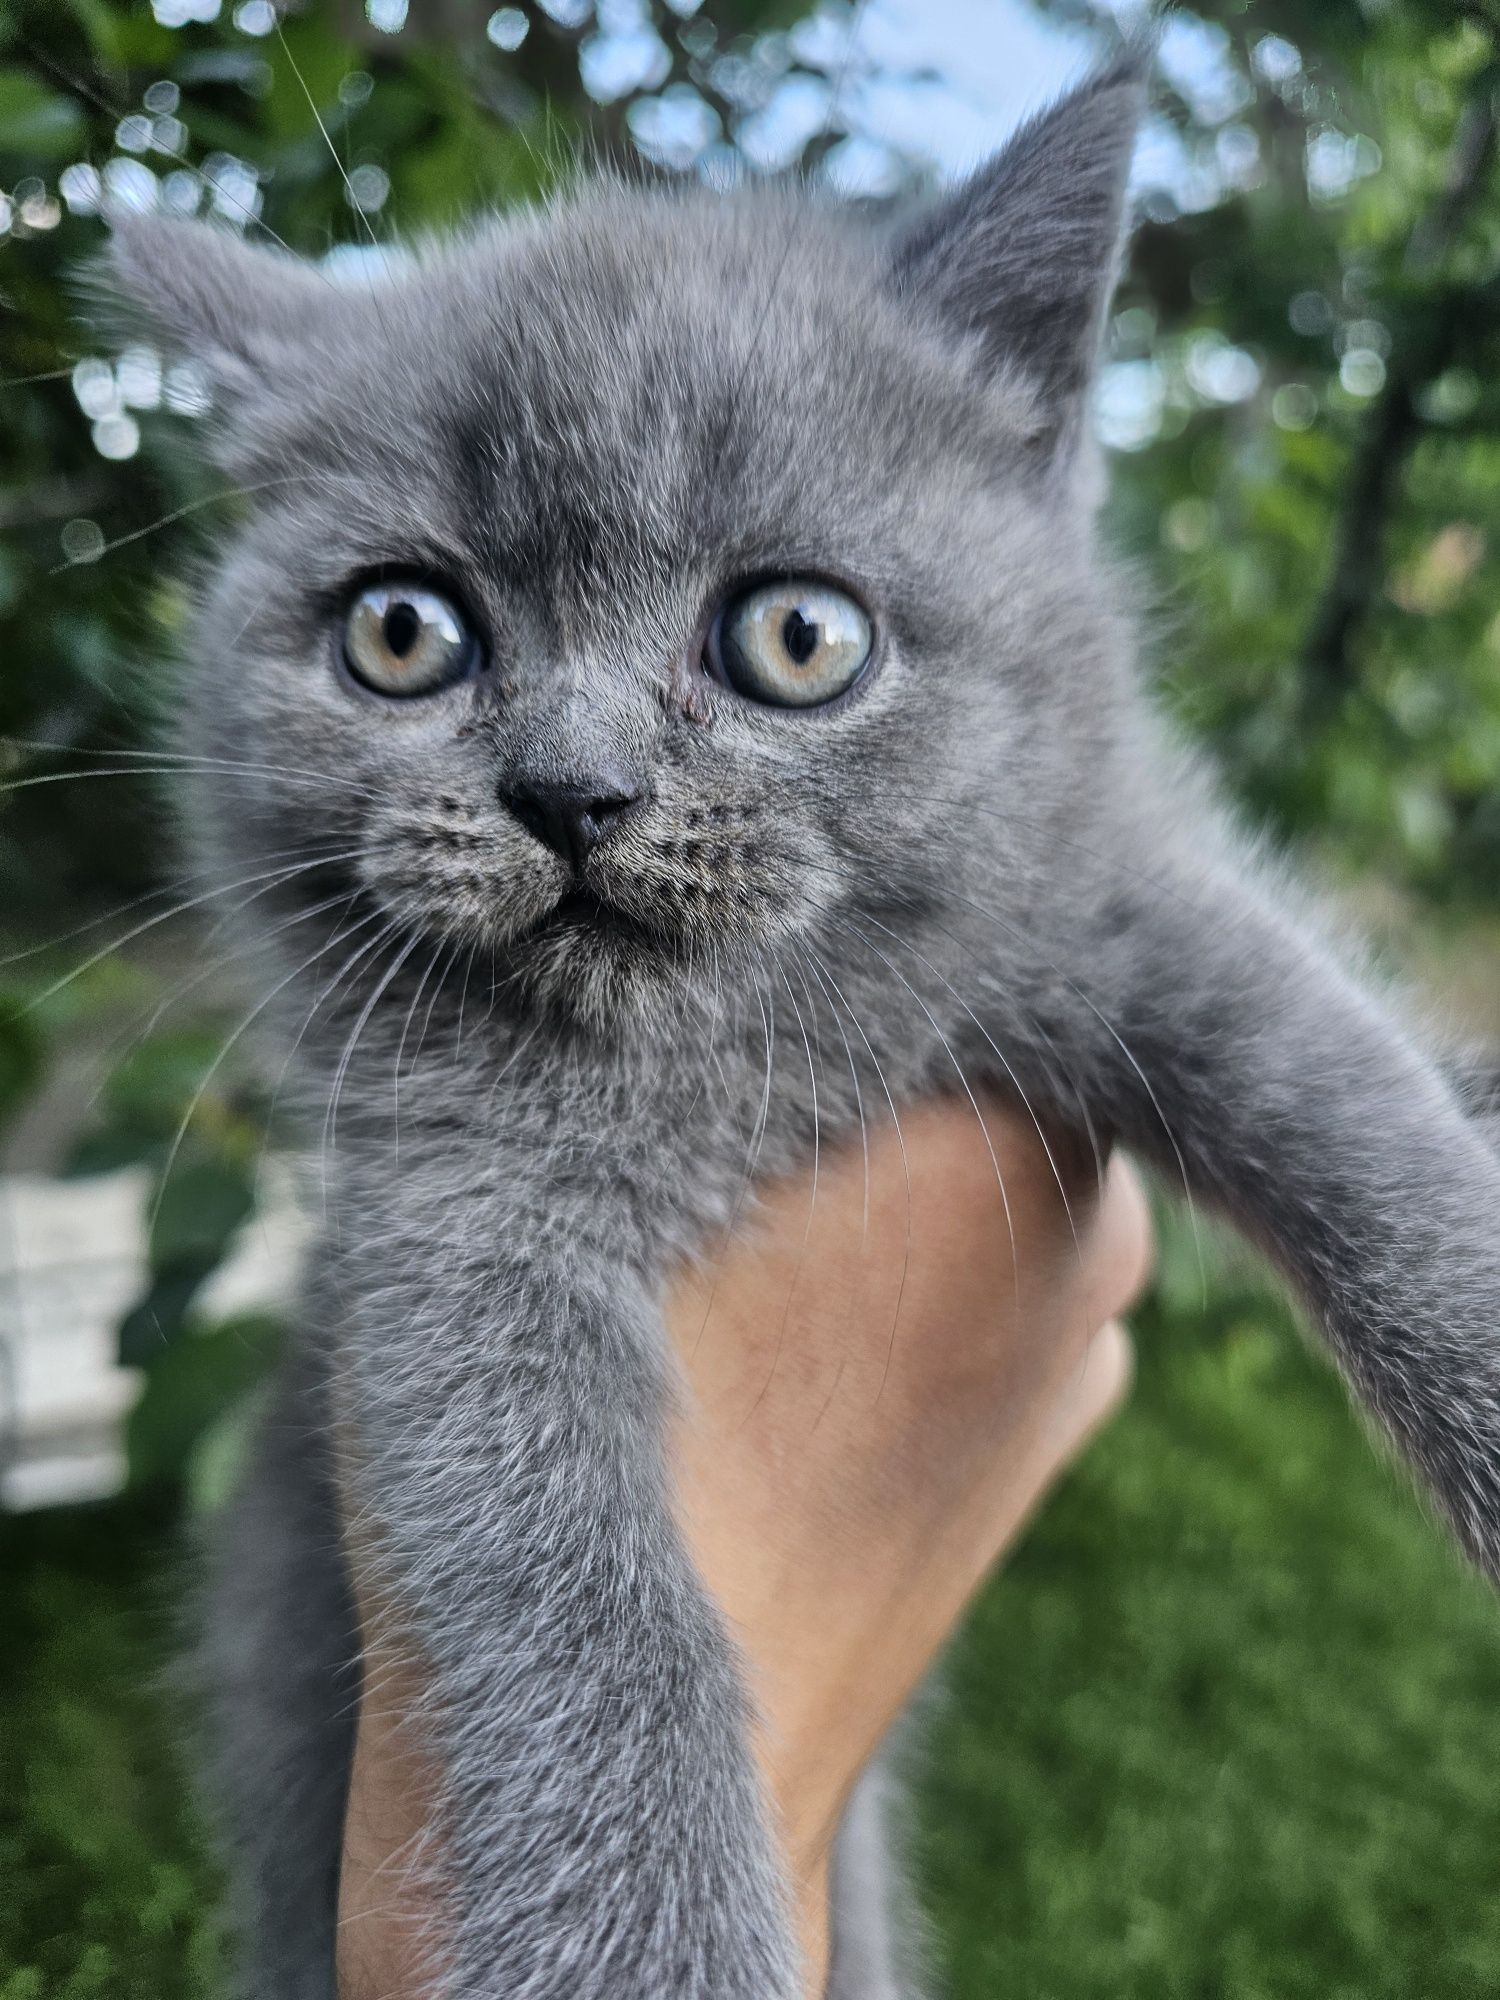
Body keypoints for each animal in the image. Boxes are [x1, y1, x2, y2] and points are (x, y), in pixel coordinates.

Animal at [103, 54, 1500, 2000]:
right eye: (401, 631)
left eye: (796, 637)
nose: (573, 791)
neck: (737, 1080)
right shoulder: (445, 1223)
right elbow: (562, 1585)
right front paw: (658, 1942)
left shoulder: (1121, 905)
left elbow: (1356, 1117)